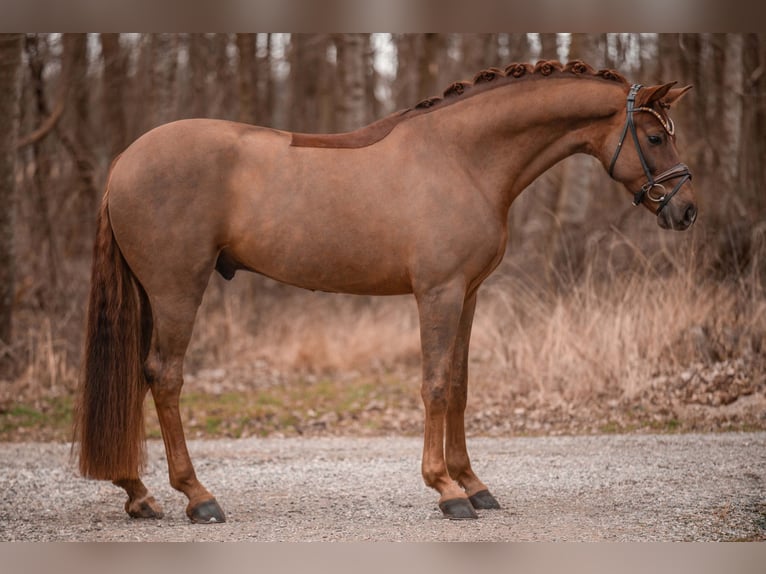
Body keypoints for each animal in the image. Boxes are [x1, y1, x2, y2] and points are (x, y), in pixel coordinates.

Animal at [75, 60, 700, 524]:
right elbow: (436, 385)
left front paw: (474, 484)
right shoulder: (439, 294)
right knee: (165, 377)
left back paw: (139, 495)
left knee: (138, 377)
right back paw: (197, 496)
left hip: (152, 295)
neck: (464, 157)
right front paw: (446, 491)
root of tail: (125, 161)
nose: (687, 212)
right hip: (178, 290)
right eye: (652, 137)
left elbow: (461, 385)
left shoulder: (469, 294)